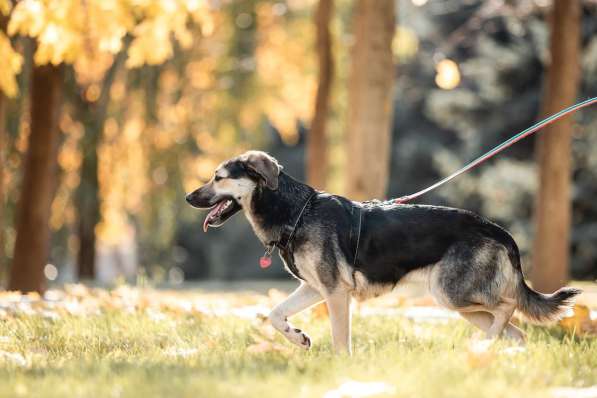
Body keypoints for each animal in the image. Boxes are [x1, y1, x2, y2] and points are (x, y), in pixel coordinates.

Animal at [185, 151, 576, 352]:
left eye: (218, 177)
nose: (188, 197)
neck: (294, 211)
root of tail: (498, 230)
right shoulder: (314, 288)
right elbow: (275, 313)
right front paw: (298, 337)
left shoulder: (335, 293)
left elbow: (340, 339)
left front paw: (339, 366)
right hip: (460, 303)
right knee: (516, 332)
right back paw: (491, 356)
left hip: (452, 294)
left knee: (507, 308)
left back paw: (484, 347)